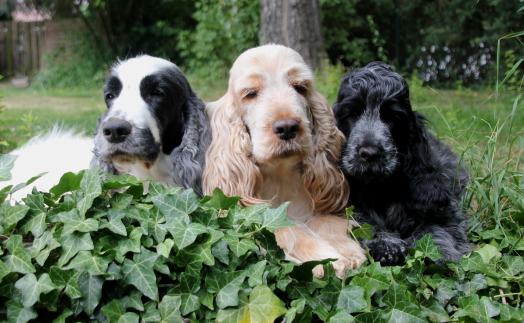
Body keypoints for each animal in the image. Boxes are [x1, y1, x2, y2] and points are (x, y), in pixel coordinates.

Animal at [334, 61, 472, 266]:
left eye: (392, 117)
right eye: (352, 114)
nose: (370, 154)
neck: (377, 189)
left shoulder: (444, 210)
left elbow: (438, 230)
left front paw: (442, 254)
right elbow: (362, 223)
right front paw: (386, 245)